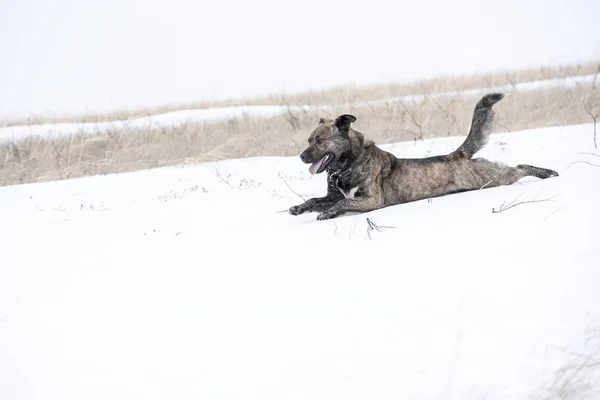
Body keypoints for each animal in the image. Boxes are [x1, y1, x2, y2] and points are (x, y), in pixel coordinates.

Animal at [288, 92, 560, 220]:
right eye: (309, 140)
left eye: (320, 141)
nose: (301, 156)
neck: (349, 164)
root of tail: (458, 154)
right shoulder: (330, 195)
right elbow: (315, 199)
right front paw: (300, 208)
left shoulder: (371, 200)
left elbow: (342, 203)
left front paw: (328, 213)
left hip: (493, 178)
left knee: (520, 167)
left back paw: (547, 173)